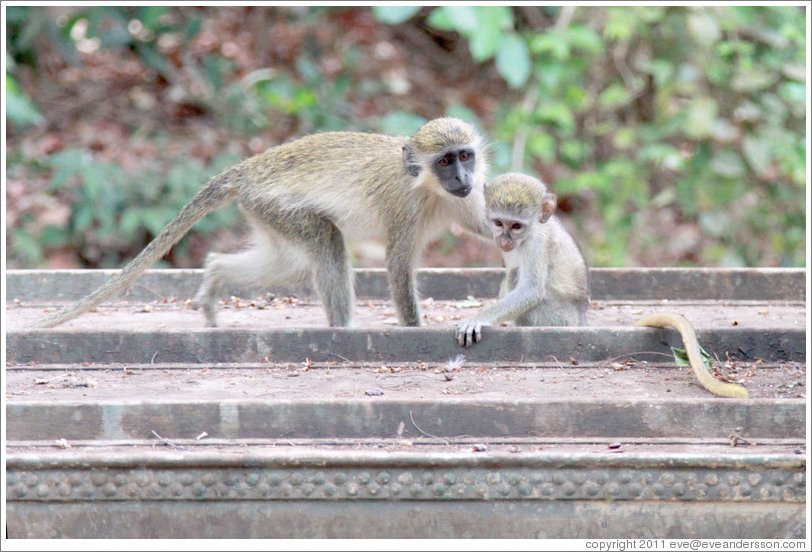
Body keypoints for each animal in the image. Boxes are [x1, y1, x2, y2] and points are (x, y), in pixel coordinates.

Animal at [38, 116, 486, 328]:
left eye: (465, 157)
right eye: (445, 161)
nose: (463, 178)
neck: (432, 190)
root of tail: (252, 168)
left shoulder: (471, 198)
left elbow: (489, 227)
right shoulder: (403, 208)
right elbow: (397, 266)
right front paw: (414, 330)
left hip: (263, 212)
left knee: (284, 262)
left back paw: (216, 275)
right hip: (276, 205)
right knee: (326, 243)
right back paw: (343, 328)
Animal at [454, 172, 588, 348]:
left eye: (516, 226)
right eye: (498, 223)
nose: (504, 241)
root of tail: (579, 319)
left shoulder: (536, 243)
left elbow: (531, 290)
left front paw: (478, 319)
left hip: (557, 318)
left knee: (515, 274)